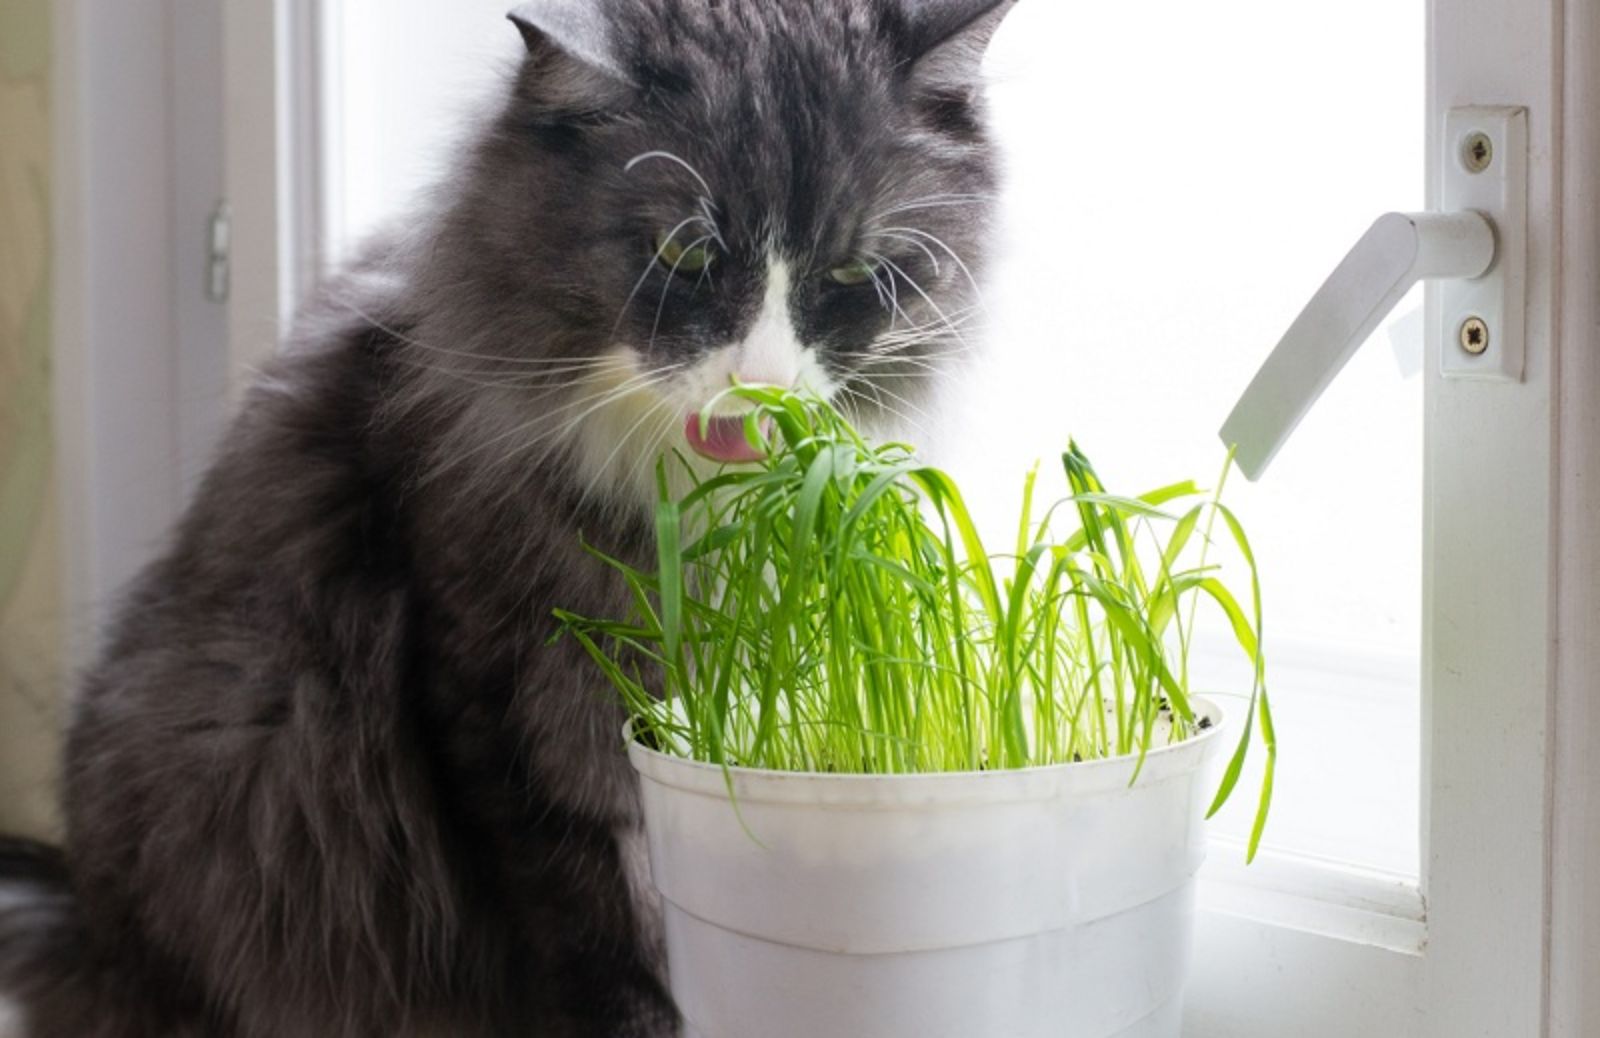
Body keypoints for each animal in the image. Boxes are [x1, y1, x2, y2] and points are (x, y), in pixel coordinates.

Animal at [0, 2, 1017, 1030]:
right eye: (685, 253)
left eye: (851, 271)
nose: (760, 386)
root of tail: (85, 924)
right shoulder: (498, 698)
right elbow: (594, 936)